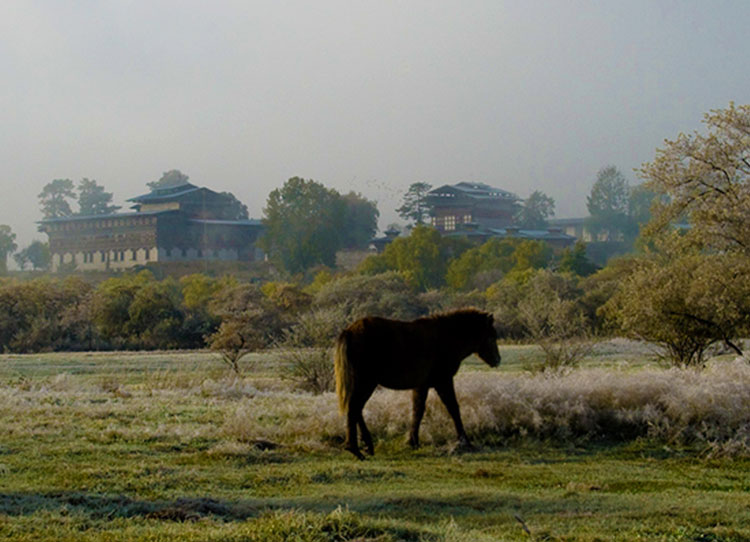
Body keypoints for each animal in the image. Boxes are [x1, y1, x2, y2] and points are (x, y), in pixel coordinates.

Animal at [334, 310, 500, 460]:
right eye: (492, 336)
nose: (497, 360)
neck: (446, 337)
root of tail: (349, 331)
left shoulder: (422, 385)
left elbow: (417, 410)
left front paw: (412, 441)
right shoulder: (443, 381)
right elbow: (453, 408)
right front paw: (465, 441)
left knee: (357, 409)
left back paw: (366, 445)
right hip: (366, 382)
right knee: (354, 408)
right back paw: (355, 449)